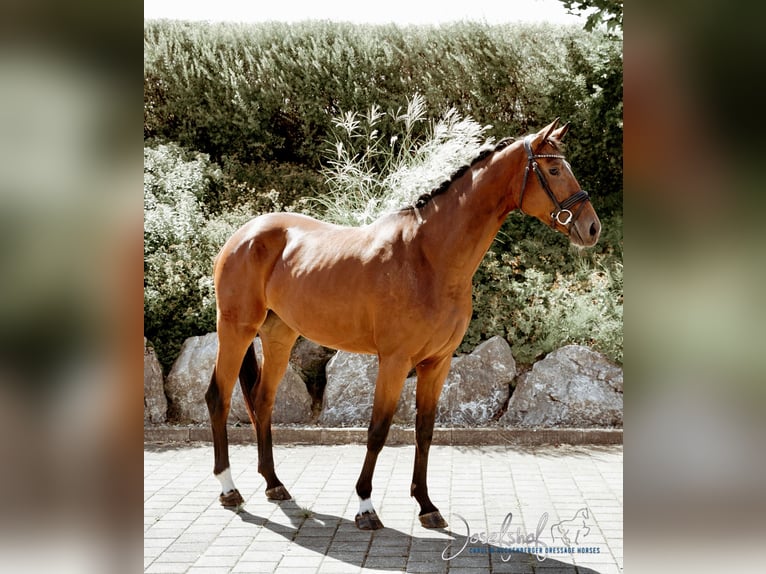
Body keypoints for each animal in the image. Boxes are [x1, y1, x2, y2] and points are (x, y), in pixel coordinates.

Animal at [205, 118, 601, 530]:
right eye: (553, 170)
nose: (592, 228)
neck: (428, 257)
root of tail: (243, 234)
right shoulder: (394, 361)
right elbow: (378, 430)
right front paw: (365, 506)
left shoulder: (437, 363)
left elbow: (425, 431)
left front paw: (427, 505)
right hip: (235, 328)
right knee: (219, 397)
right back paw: (229, 489)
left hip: (279, 335)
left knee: (262, 401)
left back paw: (274, 483)